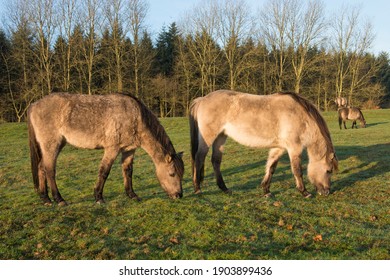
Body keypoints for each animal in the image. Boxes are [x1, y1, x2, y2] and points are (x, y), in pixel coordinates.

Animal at [28, 93, 184, 205]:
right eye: (172, 174)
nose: (178, 195)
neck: (135, 117)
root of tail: (34, 105)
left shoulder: (129, 149)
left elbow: (128, 171)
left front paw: (132, 195)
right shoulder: (112, 149)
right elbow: (104, 171)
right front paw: (98, 197)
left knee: (41, 168)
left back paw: (45, 199)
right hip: (52, 145)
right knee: (49, 170)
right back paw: (59, 199)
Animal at [190, 91, 338, 198]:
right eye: (328, 170)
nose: (327, 192)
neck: (300, 116)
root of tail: (202, 99)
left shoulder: (279, 148)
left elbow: (271, 167)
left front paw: (266, 190)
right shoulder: (294, 148)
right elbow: (297, 170)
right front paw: (304, 192)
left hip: (221, 137)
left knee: (215, 161)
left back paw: (224, 189)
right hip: (208, 137)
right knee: (199, 158)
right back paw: (197, 189)